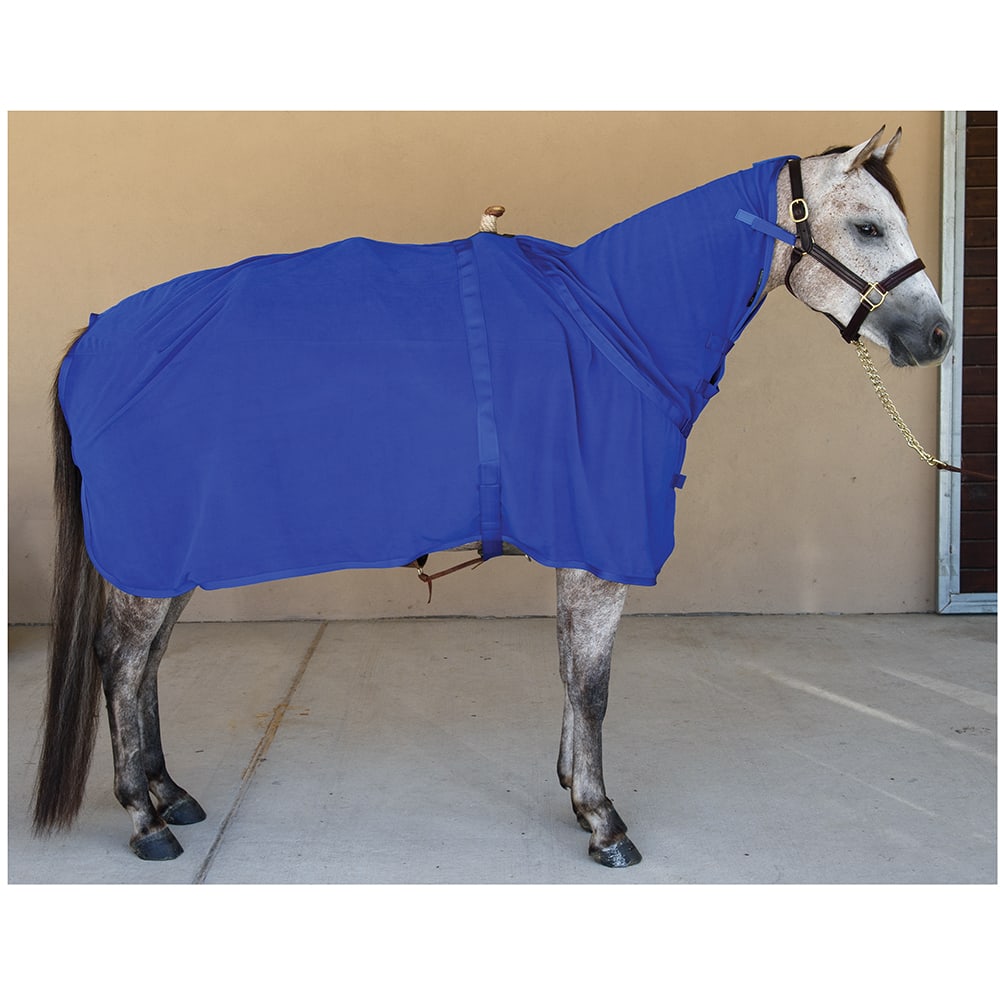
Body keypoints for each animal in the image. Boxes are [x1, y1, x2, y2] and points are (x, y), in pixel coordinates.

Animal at [32, 128, 952, 868]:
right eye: (868, 226)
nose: (939, 335)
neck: (613, 326)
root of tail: (94, 335)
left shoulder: (577, 548)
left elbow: (570, 674)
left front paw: (573, 790)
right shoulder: (600, 552)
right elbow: (594, 686)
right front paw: (604, 821)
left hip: (171, 558)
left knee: (147, 664)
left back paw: (169, 791)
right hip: (152, 556)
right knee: (122, 663)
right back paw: (144, 818)